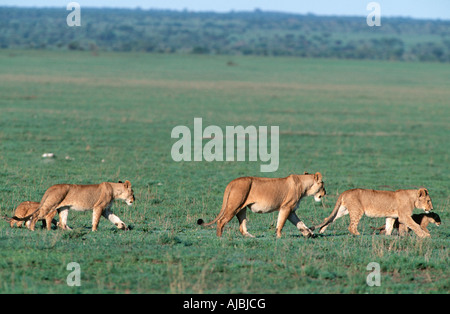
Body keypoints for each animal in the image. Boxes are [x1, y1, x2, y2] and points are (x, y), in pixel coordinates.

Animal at [197, 172, 326, 238]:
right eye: (323, 184)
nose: (325, 193)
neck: (304, 186)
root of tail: (232, 182)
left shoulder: (291, 210)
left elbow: (299, 223)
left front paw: (308, 233)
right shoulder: (286, 207)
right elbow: (281, 223)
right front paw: (279, 236)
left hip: (241, 208)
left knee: (241, 226)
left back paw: (250, 237)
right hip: (234, 206)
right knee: (221, 221)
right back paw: (219, 238)